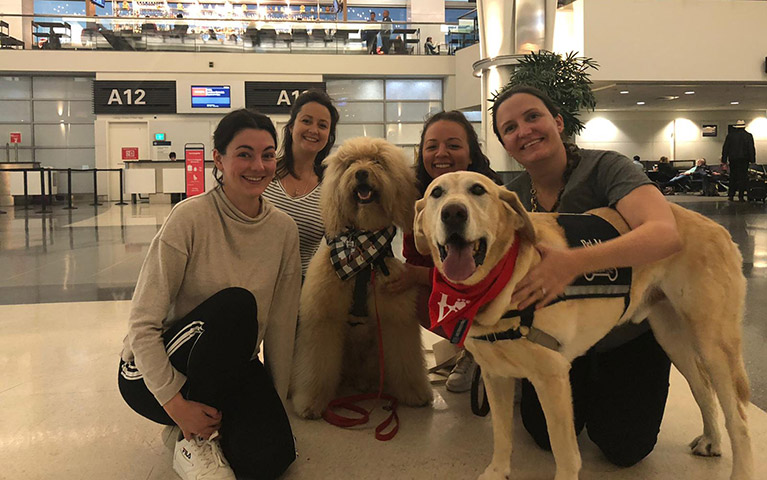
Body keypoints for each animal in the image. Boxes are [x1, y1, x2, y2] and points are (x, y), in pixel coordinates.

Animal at [292, 137, 432, 418]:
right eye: (349, 164)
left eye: (377, 161)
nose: (361, 173)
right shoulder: (324, 317)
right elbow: (317, 364)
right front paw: (311, 402)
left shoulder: (395, 319)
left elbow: (405, 360)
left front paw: (414, 392)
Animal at [414, 172, 752, 480]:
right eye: (437, 193)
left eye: (478, 190)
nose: (453, 213)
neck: (500, 283)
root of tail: (717, 228)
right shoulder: (496, 375)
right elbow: (501, 435)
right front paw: (497, 472)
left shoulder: (552, 378)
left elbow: (563, 450)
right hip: (672, 338)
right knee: (703, 388)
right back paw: (711, 440)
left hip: (714, 344)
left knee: (738, 419)